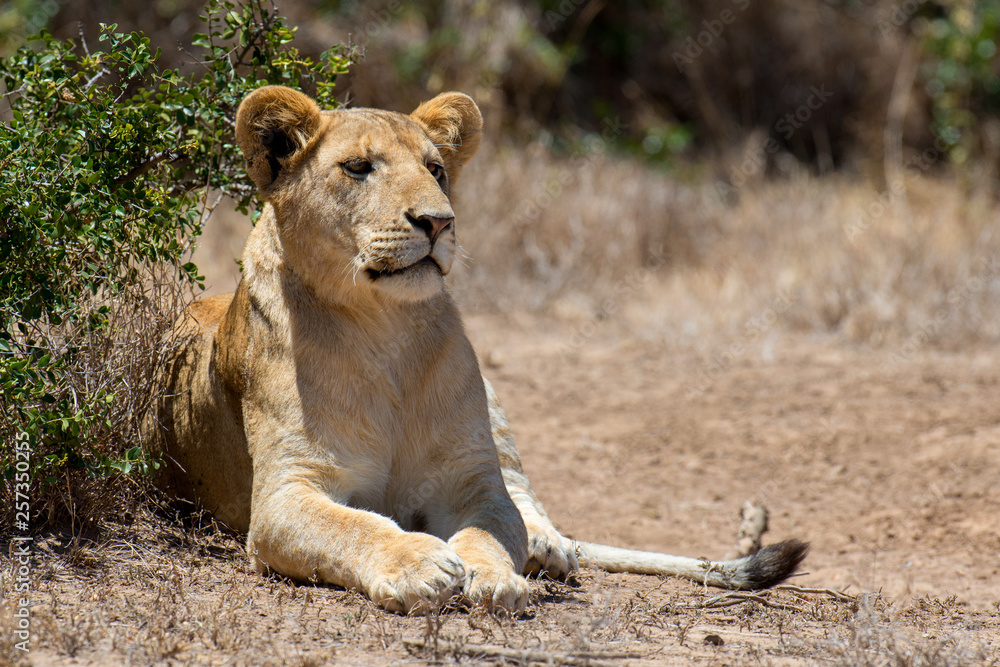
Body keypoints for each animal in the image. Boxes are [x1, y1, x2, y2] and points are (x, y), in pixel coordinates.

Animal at [147, 85, 808, 614]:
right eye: (358, 167)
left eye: (436, 169)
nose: (438, 221)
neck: (385, 329)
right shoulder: (285, 494)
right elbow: (354, 527)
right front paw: (420, 565)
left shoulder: (473, 479)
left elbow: (492, 527)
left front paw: (495, 577)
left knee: (525, 492)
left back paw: (548, 547)